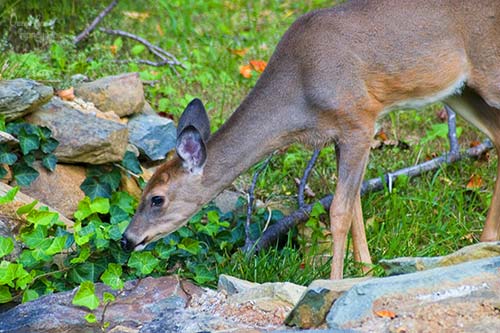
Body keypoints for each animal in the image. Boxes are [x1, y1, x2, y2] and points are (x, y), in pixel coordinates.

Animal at [121, 0, 500, 278]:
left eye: (156, 199)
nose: (127, 239)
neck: (299, 98)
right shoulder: (339, 134)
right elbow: (355, 204)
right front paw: (366, 270)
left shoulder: (359, 119)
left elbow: (340, 210)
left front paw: (334, 282)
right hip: (460, 92)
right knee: (497, 135)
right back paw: (482, 244)